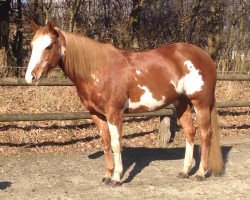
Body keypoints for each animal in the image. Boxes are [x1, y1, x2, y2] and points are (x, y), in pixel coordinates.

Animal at [25, 21, 225, 185]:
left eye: (49, 46)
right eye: (32, 45)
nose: (30, 77)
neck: (99, 70)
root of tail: (204, 55)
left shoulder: (114, 113)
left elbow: (116, 143)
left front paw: (116, 178)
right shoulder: (97, 115)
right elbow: (105, 142)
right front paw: (107, 175)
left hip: (201, 104)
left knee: (205, 135)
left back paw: (200, 173)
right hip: (181, 104)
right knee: (190, 132)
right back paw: (184, 171)